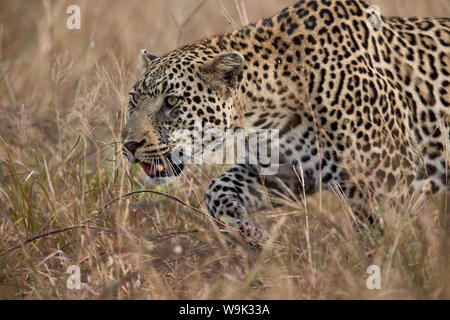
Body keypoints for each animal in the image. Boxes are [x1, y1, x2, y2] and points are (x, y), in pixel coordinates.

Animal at [121, 0, 448, 245]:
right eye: (134, 99)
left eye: (172, 101)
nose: (129, 145)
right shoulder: (284, 170)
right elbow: (216, 190)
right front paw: (253, 236)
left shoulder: (389, 181)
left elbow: (385, 240)